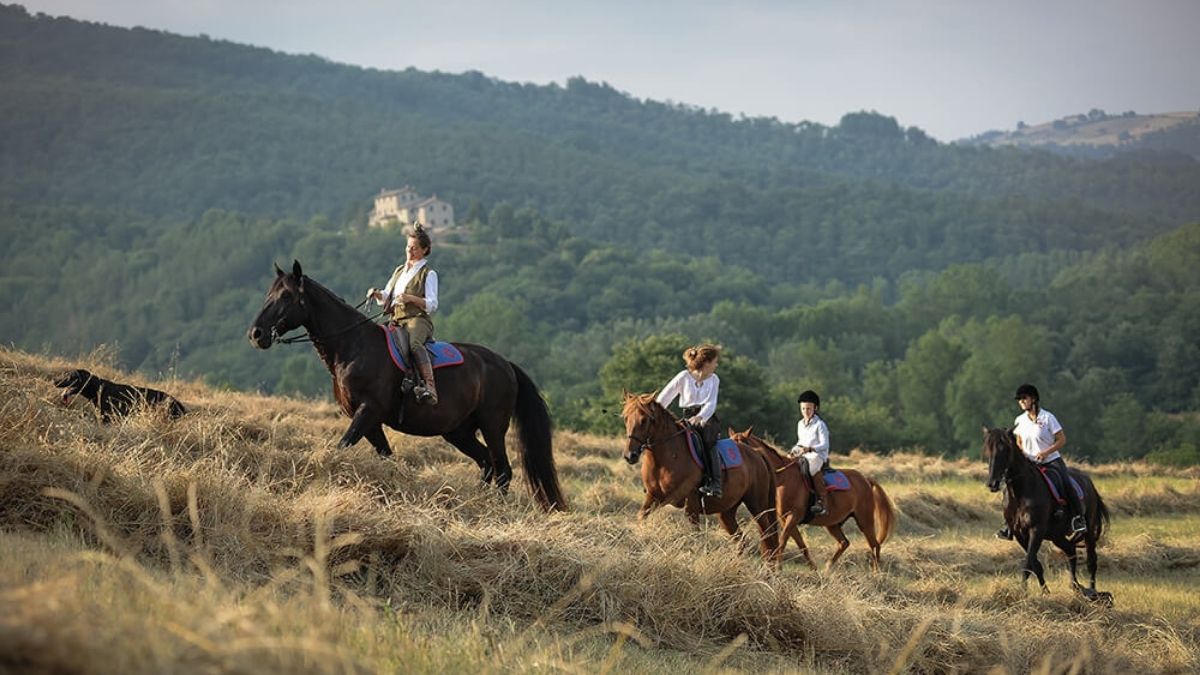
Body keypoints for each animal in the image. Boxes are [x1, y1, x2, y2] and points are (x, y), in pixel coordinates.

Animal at [247, 261, 566, 509]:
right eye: (269, 294)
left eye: (286, 296)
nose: (256, 334)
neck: (353, 346)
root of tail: (505, 364)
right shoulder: (369, 420)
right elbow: (385, 457)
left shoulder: (368, 412)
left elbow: (342, 447)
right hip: (459, 432)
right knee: (487, 463)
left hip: (492, 426)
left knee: (503, 471)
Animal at [624, 389, 782, 557]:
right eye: (626, 418)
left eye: (644, 420)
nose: (630, 455)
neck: (666, 457)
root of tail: (757, 453)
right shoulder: (653, 496)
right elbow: (641, 516)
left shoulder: (691, 501)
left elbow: (695, 532)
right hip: (726, 512)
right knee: (741, 540)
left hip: (758, 506)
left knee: (767, 537)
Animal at [724, 425, 897, 566]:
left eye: (740, 445)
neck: (784, 477)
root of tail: (865, 479)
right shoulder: (787, 519)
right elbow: (801, 546)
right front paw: (813, 569)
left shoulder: (793, 517)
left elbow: (783, 541)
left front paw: (778, 566)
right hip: (833, 523)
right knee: (844, 543)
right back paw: (828, 568)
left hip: (864, 520)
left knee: (875, 545)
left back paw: (876, 575)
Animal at [979, 425, 1108, 598]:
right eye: (987, 450)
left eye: (1005, 449)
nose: (992, 484)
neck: (1022, 492)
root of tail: (1088, 482)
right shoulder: (1019, 533)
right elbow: (1034, 563)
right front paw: (1044, 591)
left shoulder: (1036, 530)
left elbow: (1028, 562)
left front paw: (1022, 592)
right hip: (1056, 535)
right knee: (1070, 550)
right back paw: (1075, 586)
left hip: (1087, 530)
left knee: (1091, 561)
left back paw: (1092, 590)